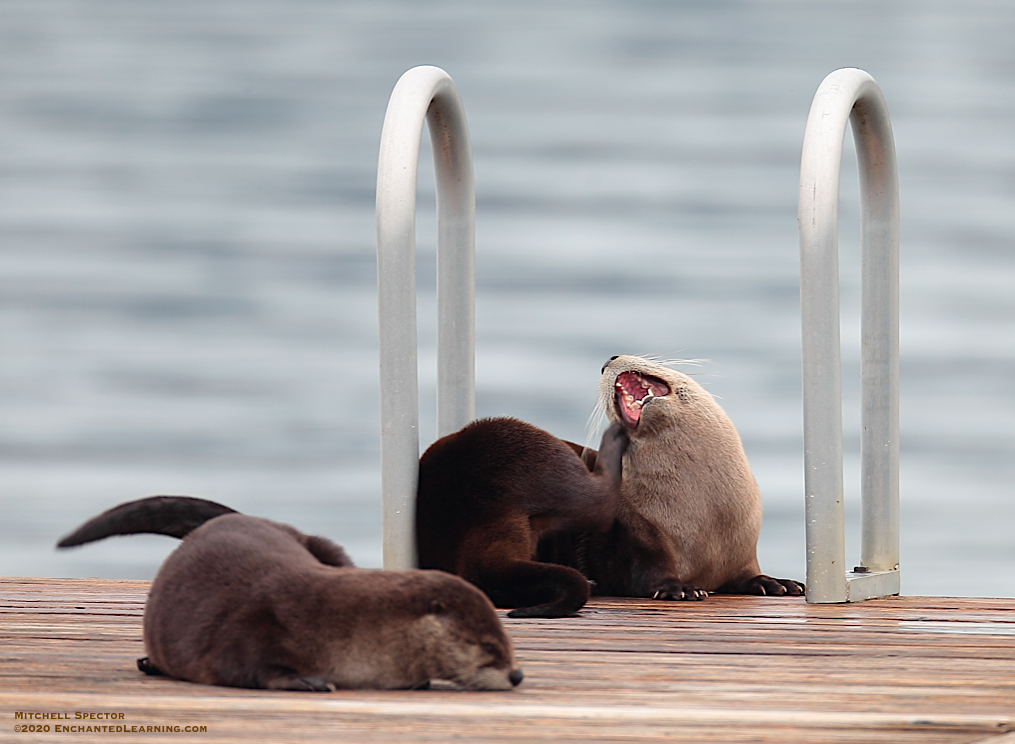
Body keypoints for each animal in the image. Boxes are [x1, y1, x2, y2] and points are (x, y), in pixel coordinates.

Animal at [57, 495, 523, 694]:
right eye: (487, 646)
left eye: (508, 643)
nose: (517, 675)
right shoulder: (253, 624)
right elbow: (244, 665)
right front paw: (307, 680)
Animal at [535, 351, 803, 600]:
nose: (606, 362)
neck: (706, 515)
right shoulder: (636, 532)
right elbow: (645, 569)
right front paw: (678, 588)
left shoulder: (743, 546)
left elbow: (747, 573)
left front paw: (775, 582)